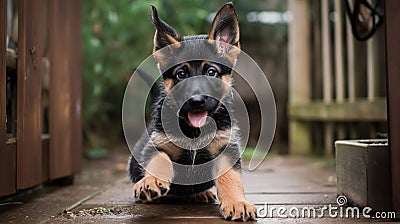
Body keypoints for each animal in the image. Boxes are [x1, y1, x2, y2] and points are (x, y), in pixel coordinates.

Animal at [130, 2, 258, 221]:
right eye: (181, 74)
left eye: (211, 72)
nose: (196, 101)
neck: (194, 132)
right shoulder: (157, 145)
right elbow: (159, 160)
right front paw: (151, 181)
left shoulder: (226, 150)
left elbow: (230, 178)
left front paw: (237, 203)